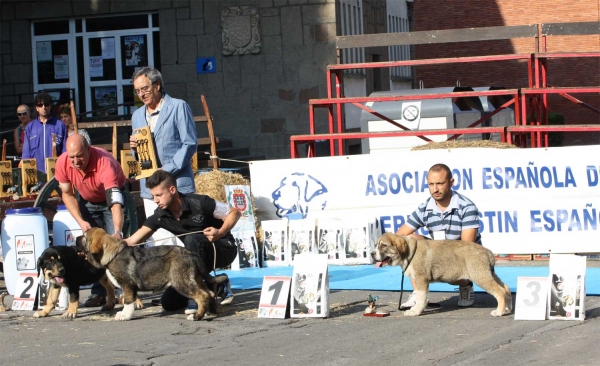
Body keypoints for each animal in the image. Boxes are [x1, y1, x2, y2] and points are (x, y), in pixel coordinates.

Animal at [75, 227, 225, 322]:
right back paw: (210, 312)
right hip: (195, 279)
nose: (75, 238)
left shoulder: (127, 285)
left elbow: (128, 302)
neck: (112, 254)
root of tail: (191, 254)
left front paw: (124, 316)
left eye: (84, 237)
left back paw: (197, 317)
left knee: (202, 296)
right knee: (210, 293)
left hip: (181, 281)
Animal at [370, 234, 510, 318]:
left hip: (480, 275)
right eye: (376, 245)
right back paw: (507, 309)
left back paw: (499, 312)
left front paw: (415, 311)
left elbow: (421, 298)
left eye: (384, 245)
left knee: (500, 291)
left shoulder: (421, 279)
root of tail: (488, 251)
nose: (371, 253)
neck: (409, 252)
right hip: (489, 273)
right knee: (506, 288)